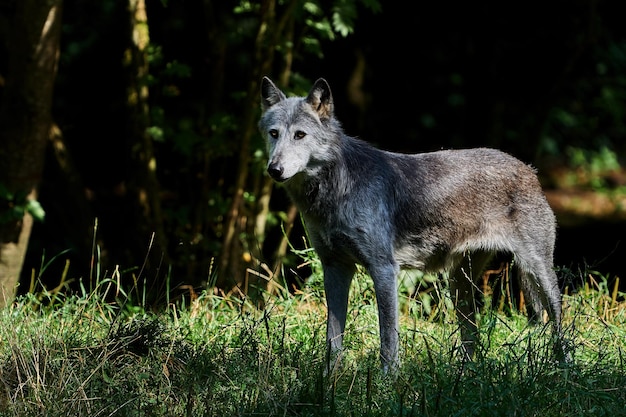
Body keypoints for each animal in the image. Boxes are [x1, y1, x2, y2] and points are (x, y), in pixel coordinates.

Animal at [256, 75, 568, 370]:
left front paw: (387, 382)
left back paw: (563, 372)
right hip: (459, 286)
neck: (337, 188)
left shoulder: (384, 269)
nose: (274, 169)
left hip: (538, 272)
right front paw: (328, 380)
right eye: (274, 134)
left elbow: (388, 340)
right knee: (472, 338)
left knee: (559, 325)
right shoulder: (335, 268)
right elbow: (333, 339)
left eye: (300, 135)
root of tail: (529, 169)